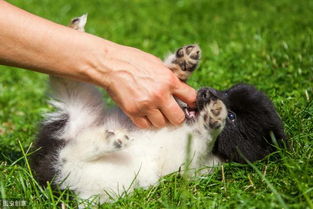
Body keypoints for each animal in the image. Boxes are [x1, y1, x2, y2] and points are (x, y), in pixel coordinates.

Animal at [30, 15, 284, 204]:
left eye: (233, 117)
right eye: (227, 91)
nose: (206, 92)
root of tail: (44, 155)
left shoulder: (193, 166)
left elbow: (200, 138)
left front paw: (213, 115)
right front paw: (180, 66)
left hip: (93, 177)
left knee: (70, 156)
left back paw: (110, 139)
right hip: (79, 112)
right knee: (66, 82)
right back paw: (75, 30)